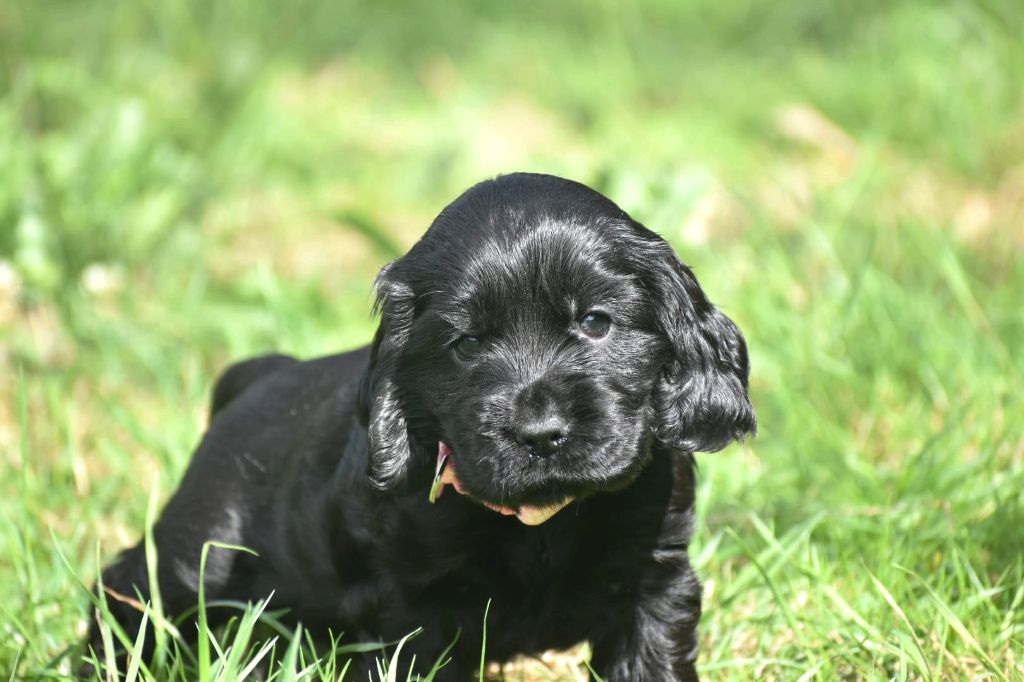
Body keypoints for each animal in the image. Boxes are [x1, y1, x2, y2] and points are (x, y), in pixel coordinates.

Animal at [88, 173, 757, 675]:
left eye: (596, 323)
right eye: (467, 345)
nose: (540, 434)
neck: (542, 522)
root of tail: (261, 373)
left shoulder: (653, 581)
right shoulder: (416, 609)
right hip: (203, 551)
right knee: (130, 589)